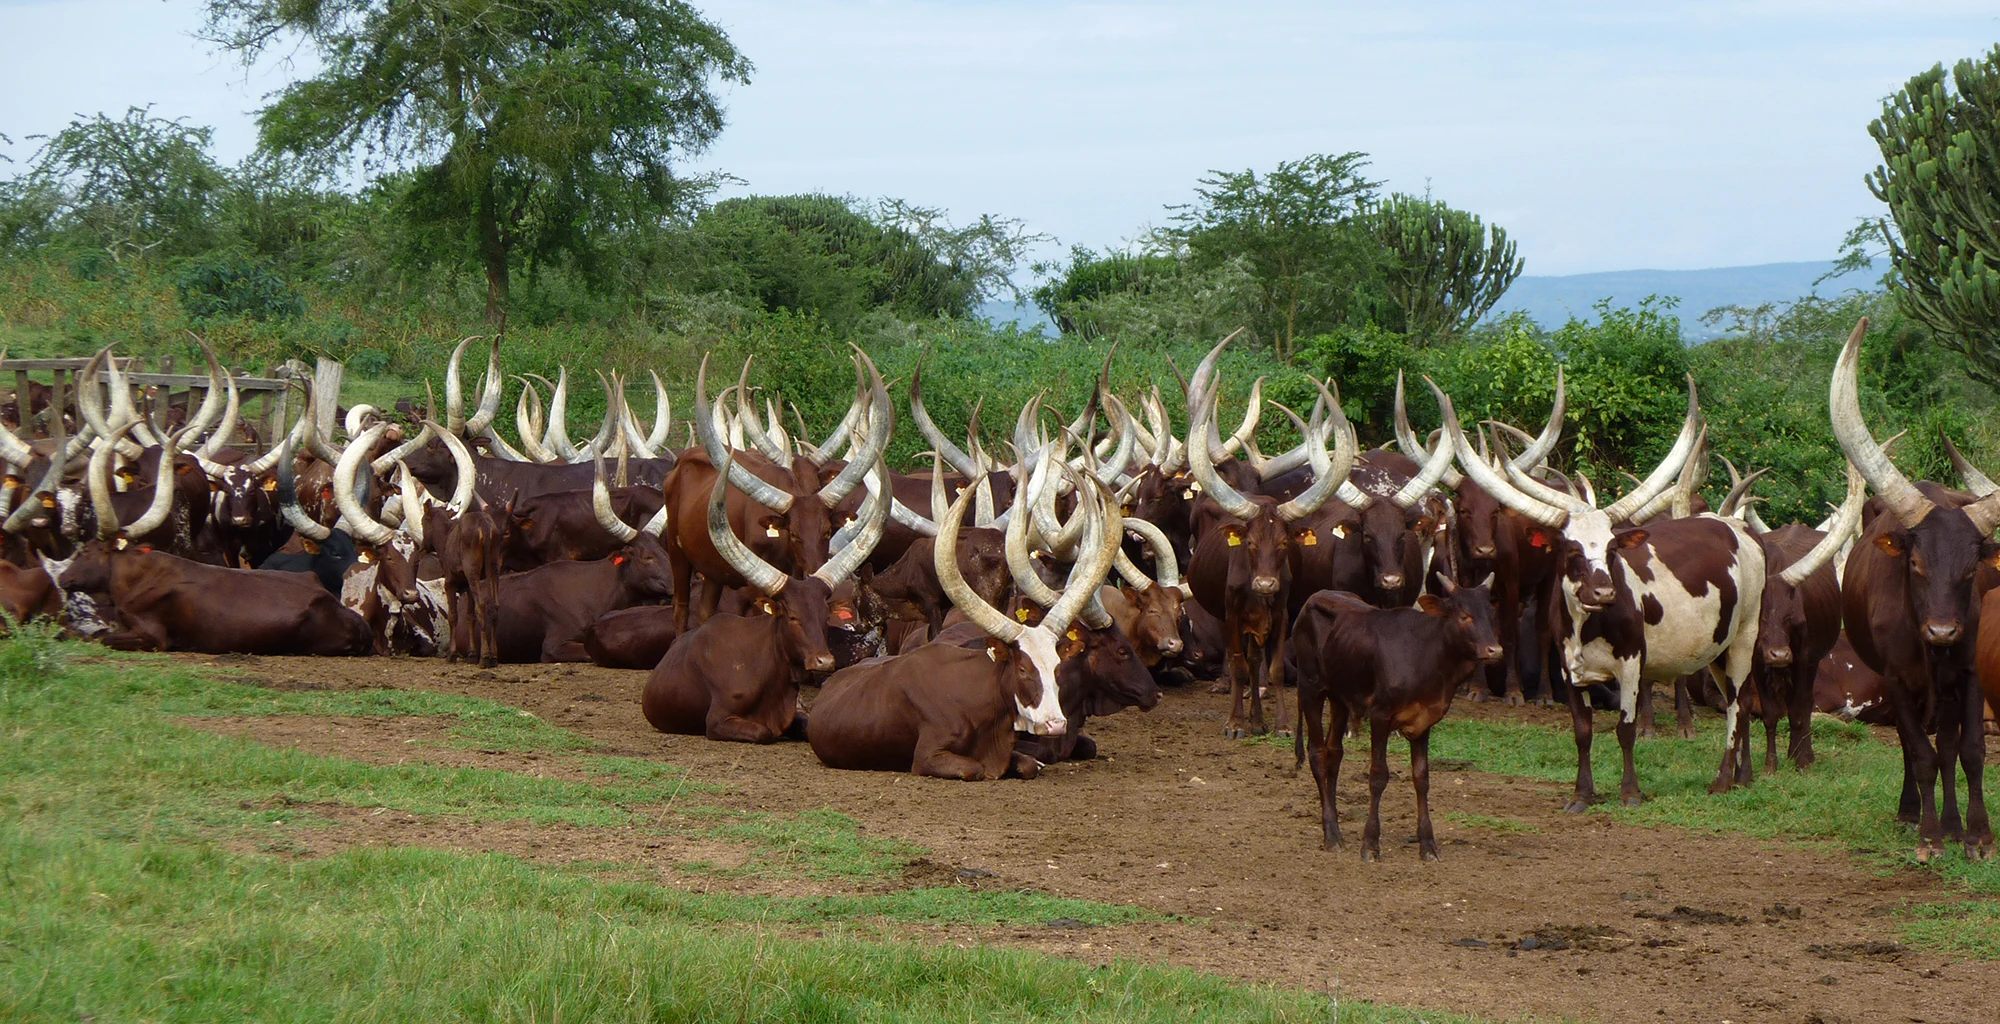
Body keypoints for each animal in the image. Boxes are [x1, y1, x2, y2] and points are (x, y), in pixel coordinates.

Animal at [641, 450, 887, 742]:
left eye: (827, 531)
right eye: (794, 534)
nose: (824, 661)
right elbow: (763, 730)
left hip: (712, 571)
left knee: (706, 610)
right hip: (677, 553)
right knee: (680, 607)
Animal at [1292, 577, 1505, 860]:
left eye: (1491, 614)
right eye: (1464, 616)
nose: (1495, 650)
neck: (1427, 657)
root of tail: (1313, 599)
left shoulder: (1424, 721)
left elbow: (1421, 779)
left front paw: (1428, 844)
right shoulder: (1380, 715)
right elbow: (1378, 776)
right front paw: (1370, 844)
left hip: (1339, 698)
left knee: (1334, 754)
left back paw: (1336, 828)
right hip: (1310, 689)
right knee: (1317, 754)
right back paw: (1331, 835)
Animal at [1831, 318, 2000, 861]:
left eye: (1971, 570)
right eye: (1916, 564)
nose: (1943, 631)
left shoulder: (1967, 674)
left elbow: (1968, 751)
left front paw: (1976, 835)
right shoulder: (1898, 680)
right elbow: (1920, 755)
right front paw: (1929, 838)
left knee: (1946, 748)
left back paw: (1951, 822)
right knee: (1915, 749)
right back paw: (1913, 814)